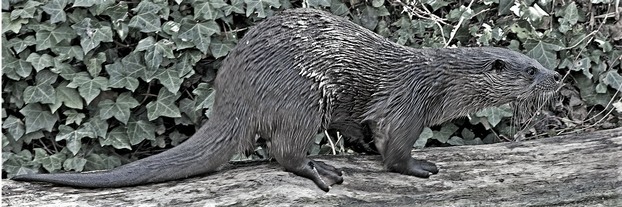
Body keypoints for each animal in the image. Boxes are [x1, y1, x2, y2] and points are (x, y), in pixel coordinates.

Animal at [11, 8, 564, 192]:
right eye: (531, 70)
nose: (556, 77)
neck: (441, 81)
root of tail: (232, 93)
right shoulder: (409, 103)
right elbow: (395, 148)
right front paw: (418, 168)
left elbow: (367, 133)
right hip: (302, 98)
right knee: (283, 151)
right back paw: (320, 170)